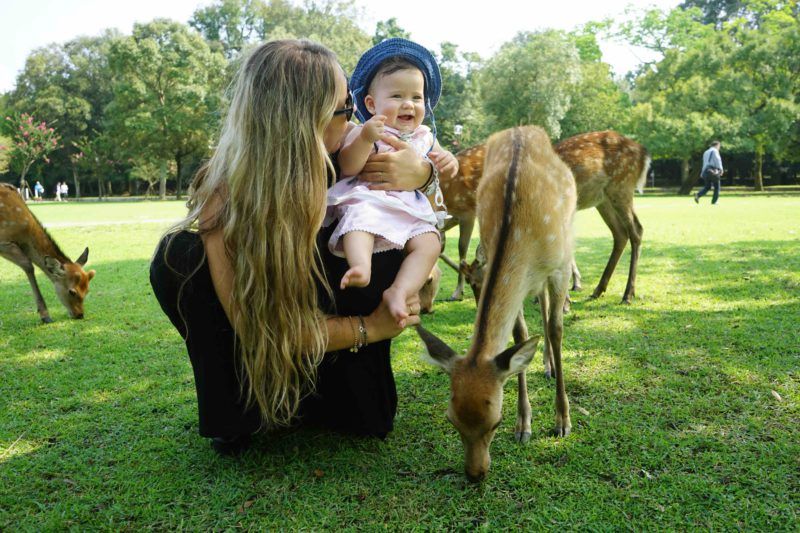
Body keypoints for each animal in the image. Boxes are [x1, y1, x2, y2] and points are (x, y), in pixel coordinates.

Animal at [0, 181, 95, 322]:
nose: (80, 314)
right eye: (72, 291)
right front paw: (45, 315)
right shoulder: (3, 242)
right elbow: (27, 265)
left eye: (87, 290)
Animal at [418, 125, 576, 482]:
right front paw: (524, 424)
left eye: (495, 422)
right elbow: (519, 337)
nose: (475, 473)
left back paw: (550, 367)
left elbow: (556, 329)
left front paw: (562, 420)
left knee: (549, 315)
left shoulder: (559, 265)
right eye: (451, 420)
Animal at [438, 129, 648, 304]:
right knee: (620, 233)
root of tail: (643, 153)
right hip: (603, 199)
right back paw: (597, 290)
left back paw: (627, 294)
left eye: (476, 282)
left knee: (636, 230)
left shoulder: (468, 212)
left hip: (621, 186)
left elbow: (462, 248)